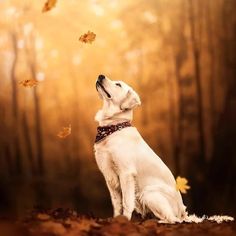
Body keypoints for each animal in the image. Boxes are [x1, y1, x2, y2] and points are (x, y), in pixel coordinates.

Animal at [93, 75, 186, 223]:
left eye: (118, 84)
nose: (100, 75)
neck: (113, 127)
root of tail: (182, 210)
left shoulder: (126, 173)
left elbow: (126, 201)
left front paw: (124, 220)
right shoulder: (109, 175)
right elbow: (116, 202)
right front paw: (115, 219)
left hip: (149, 193)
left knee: (173, 219)